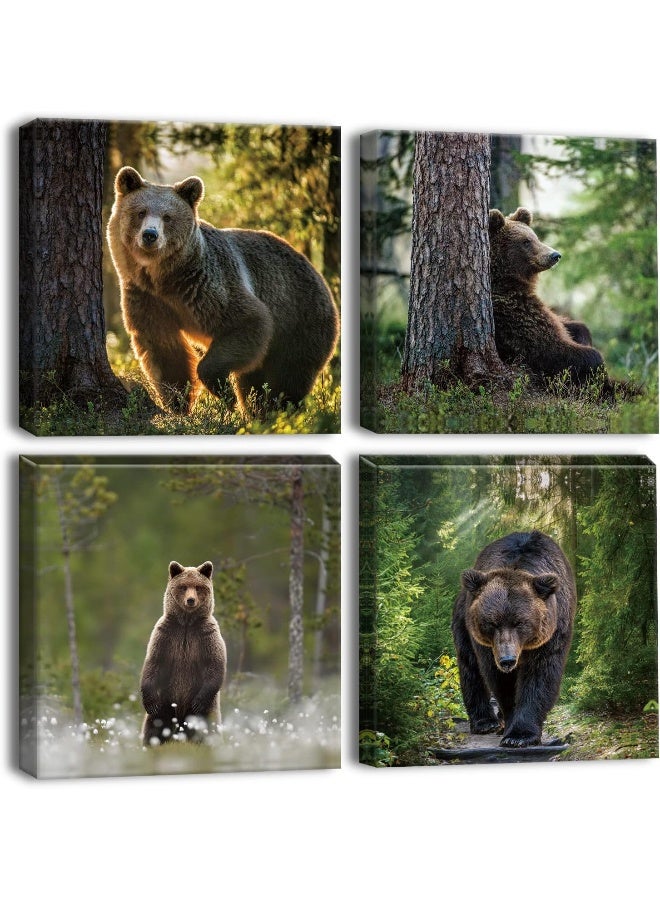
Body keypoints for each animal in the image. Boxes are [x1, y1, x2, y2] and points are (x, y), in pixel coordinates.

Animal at [107, 166, 339, 414]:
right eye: (141, 212)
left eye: (167, 217)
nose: (150, 235)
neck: (165, 278)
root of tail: (318, 274)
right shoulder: (147, 297)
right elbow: (164, 350)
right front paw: (179, 404)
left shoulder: (207, 285)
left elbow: (247, 320)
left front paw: (224, 393)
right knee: (255, 383)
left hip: (299, 321)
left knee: (287, 378)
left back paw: (278, 410)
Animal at [140, 561, 227, 746]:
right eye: (183, 586)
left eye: (198, 587)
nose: (191, 600)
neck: (186, 624)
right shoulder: (166, 635)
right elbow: (153, 662)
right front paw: (149, 702)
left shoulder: (206, 636)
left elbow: (215, 665)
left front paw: (198, 702)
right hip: (165, 703)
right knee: (154, 727)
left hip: (207, 711)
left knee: (208, 729)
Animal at [451, 531, 576, 748]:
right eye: (492, 623)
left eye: (520, 622)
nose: (507, 660)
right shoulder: (488, 645)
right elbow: (500, 681)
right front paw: (511, 728)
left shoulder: (552, 633)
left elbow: (540, 675)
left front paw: (520, 735)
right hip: (463, 622)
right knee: (470, 667)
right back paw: (485, 722)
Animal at [489, 207, 604, 380]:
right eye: (525, 241)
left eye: (535, 237)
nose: (555, 255)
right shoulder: (515, 317)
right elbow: (551, 349)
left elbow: (571, 325)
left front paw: (583, 335)